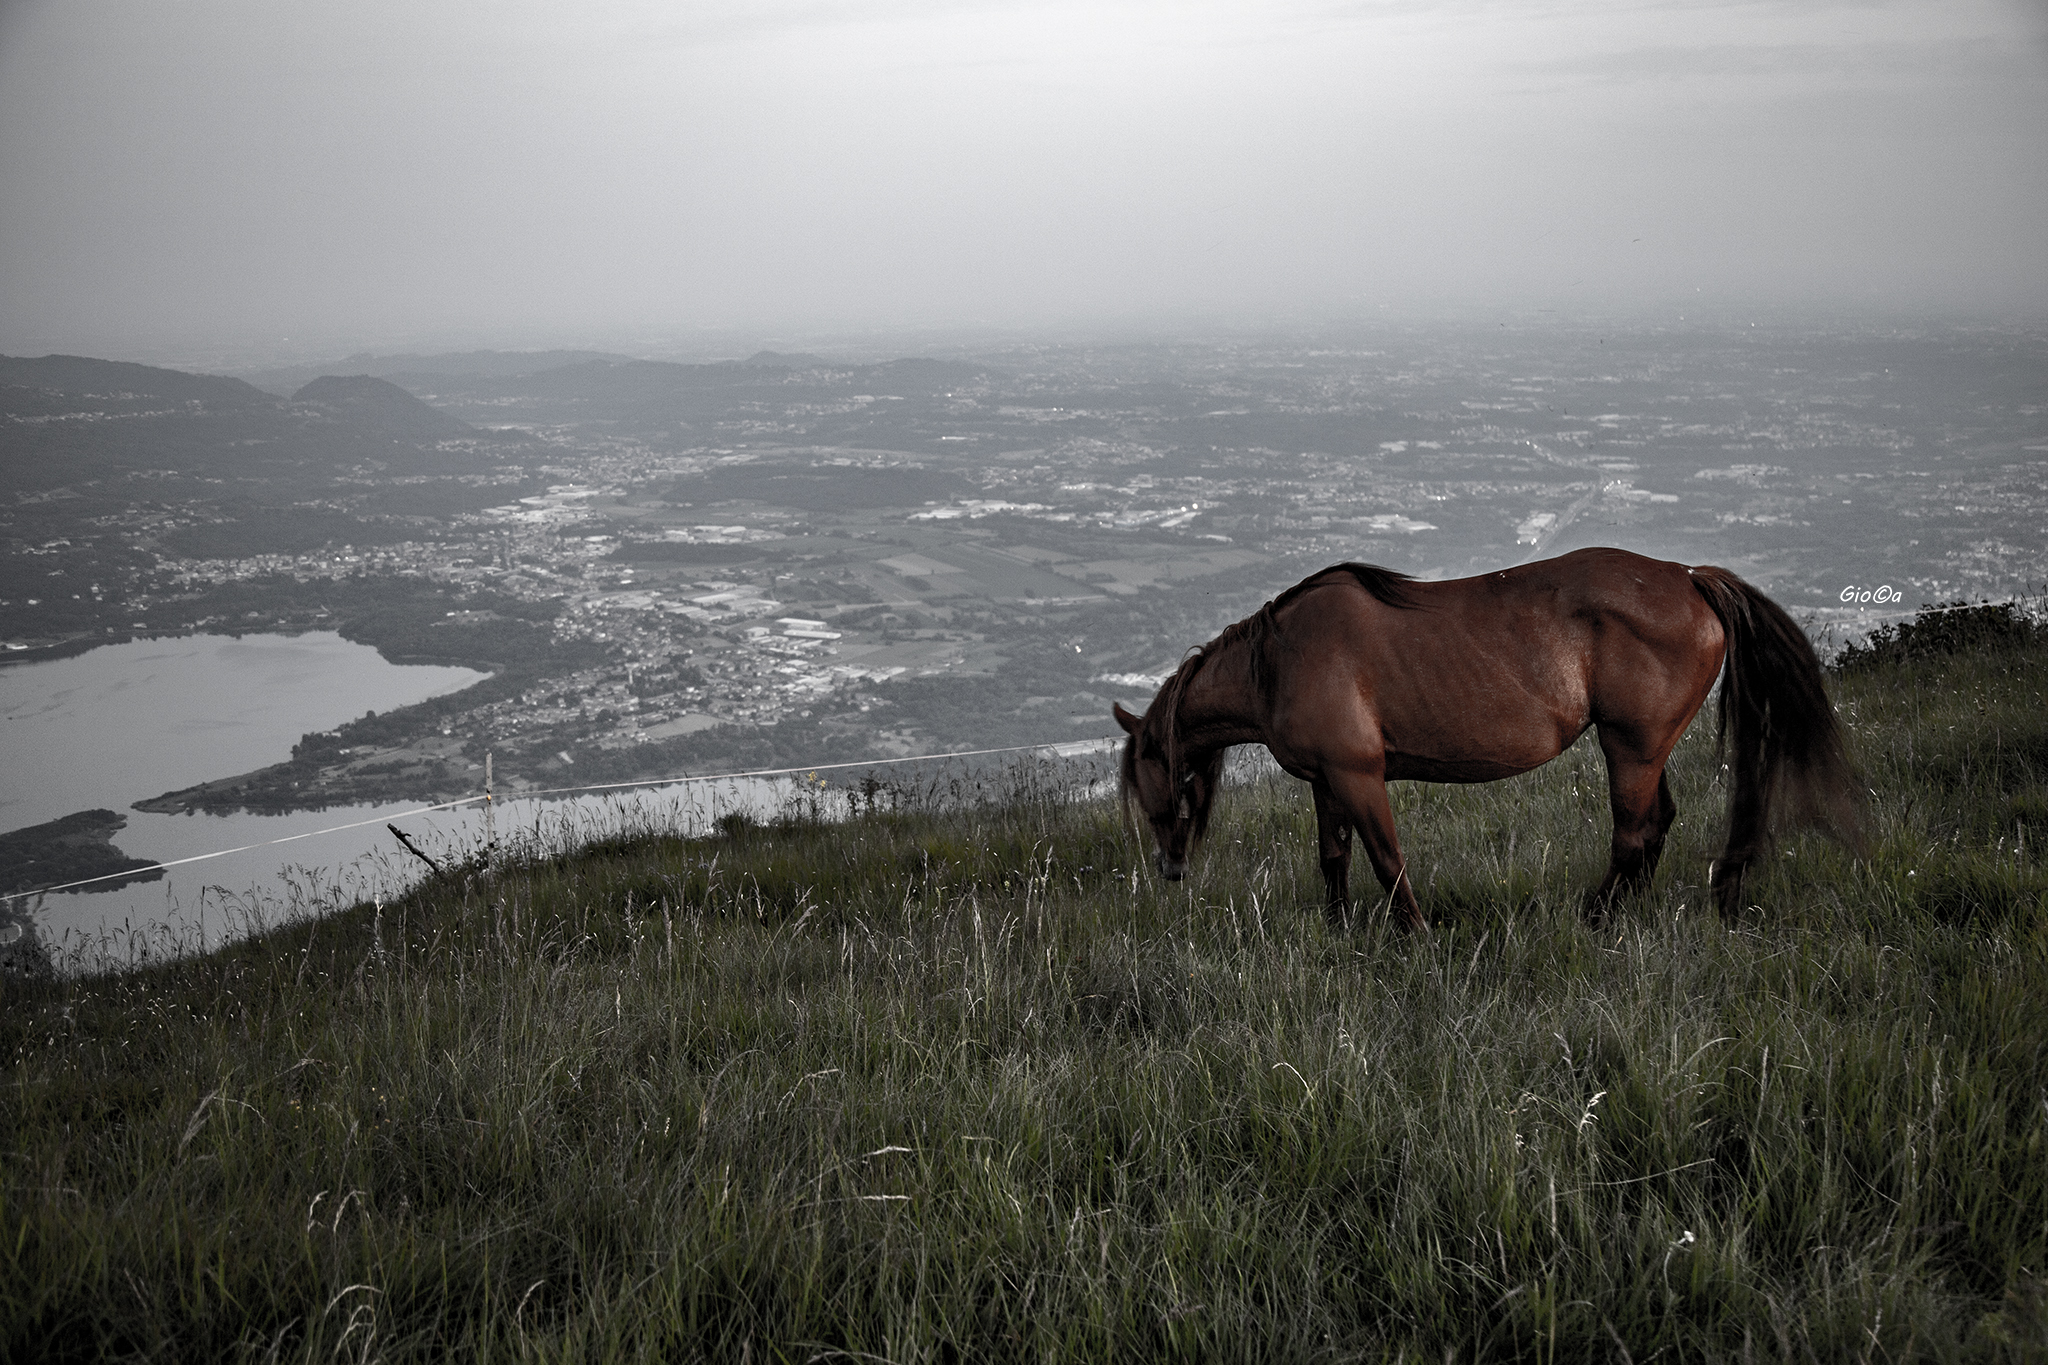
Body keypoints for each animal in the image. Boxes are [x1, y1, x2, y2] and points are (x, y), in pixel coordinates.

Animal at [1112, 547, 1862, 929]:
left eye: (1158, 792)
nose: (1170, 868)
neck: (1281, 659)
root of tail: (1693, 579)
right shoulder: (1327, 781)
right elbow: (1333, 859)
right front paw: (1338, 928)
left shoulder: (1358, 776)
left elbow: (1388, 861)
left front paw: (1415, 937)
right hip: (1647, 747)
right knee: (1655, 827)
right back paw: (1627, 911)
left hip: (1631, 747)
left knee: (1631, 834)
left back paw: (1596, 916)